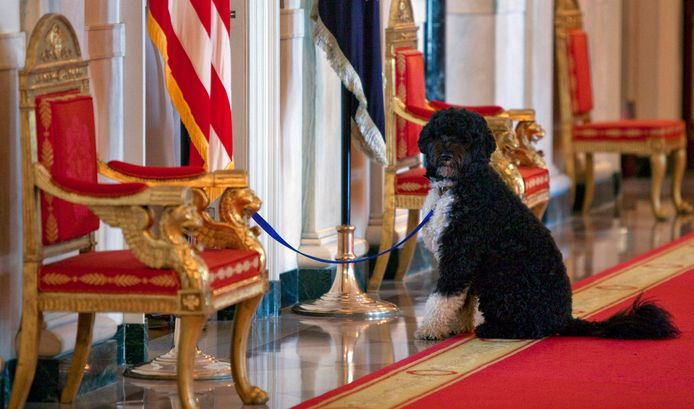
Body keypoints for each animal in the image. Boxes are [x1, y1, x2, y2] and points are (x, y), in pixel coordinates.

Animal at [416, 108, 684, 342]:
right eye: (439, 134)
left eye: (465, 138)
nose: (446, 155)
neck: (454, 187)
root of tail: (563, 319)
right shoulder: (465, 262)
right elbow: (461, 301)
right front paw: (454, 327)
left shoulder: (460, 255)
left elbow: (443, 297)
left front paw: (430, 329)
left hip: (505, 278)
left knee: (532, 328)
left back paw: (494, 329)